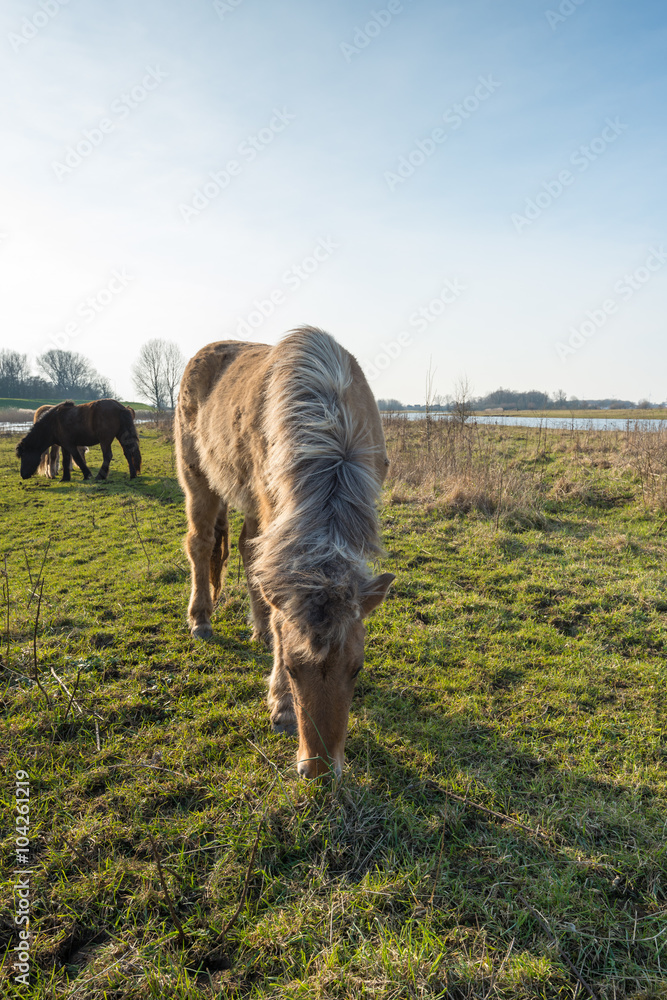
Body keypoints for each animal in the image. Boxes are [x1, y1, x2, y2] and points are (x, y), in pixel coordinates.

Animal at [175, 326, 394, 779]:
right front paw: (281, 706)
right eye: (292, 669)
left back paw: (257, 627)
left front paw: (265, 631)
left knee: (248, 551)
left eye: (357, 668)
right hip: (198, 476)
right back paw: (201, 619)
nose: (319, 770)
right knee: (201, 543)